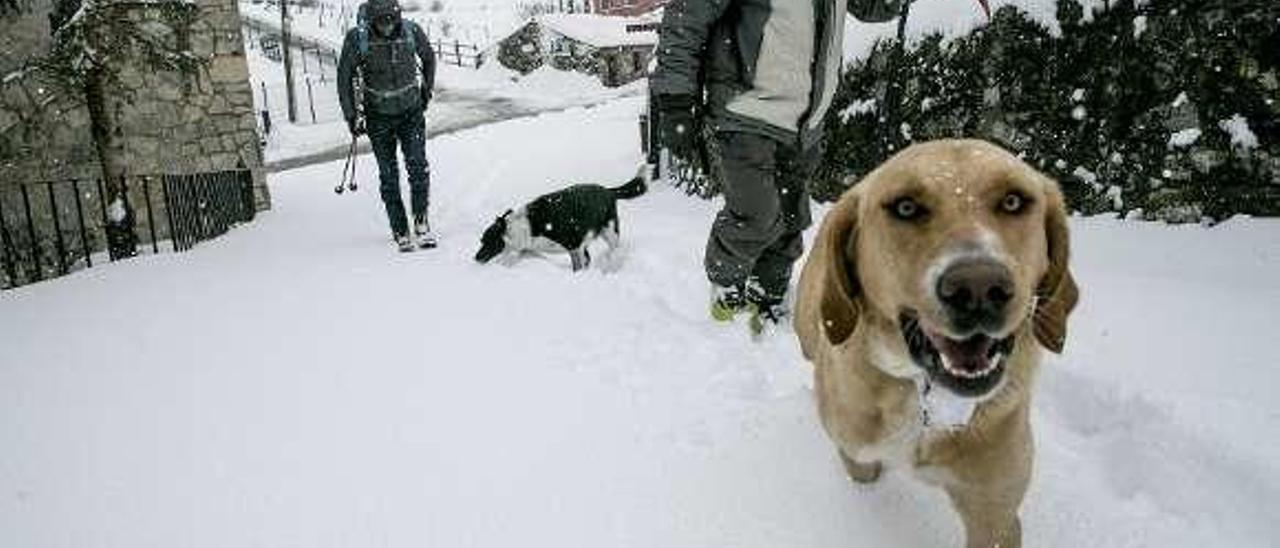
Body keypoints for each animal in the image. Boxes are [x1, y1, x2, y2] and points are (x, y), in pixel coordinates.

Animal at [473, 166, 650, 270]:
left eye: (487, 241)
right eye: (481, 241)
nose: (476, 258)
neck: (523, 226)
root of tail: (608, 190)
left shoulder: (574, 247)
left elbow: (578, 266)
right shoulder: (531, 248)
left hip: (610, 232)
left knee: (614, 250)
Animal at [793, 138, 1075, 545]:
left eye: (1013, 201)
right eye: (905, 207)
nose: (978, 289)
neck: (925, 394)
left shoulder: (995, 515)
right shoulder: (857, 455)